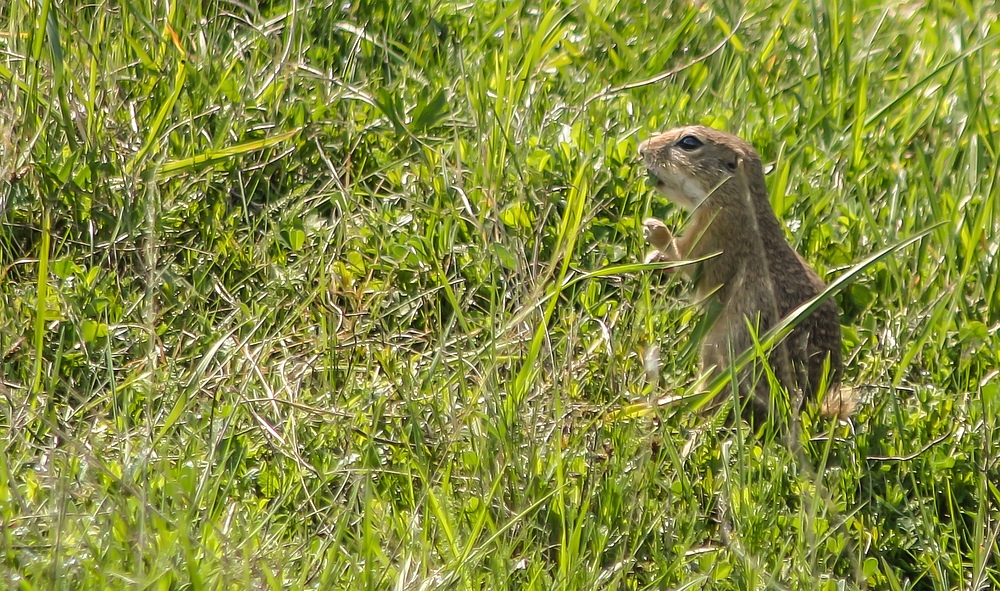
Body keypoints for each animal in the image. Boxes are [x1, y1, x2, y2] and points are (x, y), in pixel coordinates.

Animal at [636, 125, 848, 424]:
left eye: (689, 143)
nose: (642, 149)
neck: (737, 202)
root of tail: (811, 404)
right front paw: (654, 258)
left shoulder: (714, 240)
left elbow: (693, 268)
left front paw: (655, 230)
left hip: (720, 348)